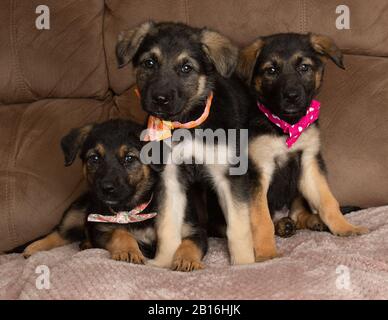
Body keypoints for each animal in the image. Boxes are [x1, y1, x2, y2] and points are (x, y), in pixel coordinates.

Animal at [23, 118, 206, 270]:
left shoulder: (194, 231)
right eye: (94, 158)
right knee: (58, 233)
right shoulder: (101, 228)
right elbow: (120, 233)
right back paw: (34, 248)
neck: (132, 209)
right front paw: (129, 251)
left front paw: (187, 260)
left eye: (129, 158)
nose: (106, 188)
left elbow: (190, 243)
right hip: (77, 213)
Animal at [117, 21, 258, 268]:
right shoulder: (170, 178)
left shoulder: (230, 176)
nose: (160, 99)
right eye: (149, 63)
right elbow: (167, 225)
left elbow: (238, 227)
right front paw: (162, 262)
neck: (186, 123)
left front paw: (243, 264)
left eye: (186, 68)